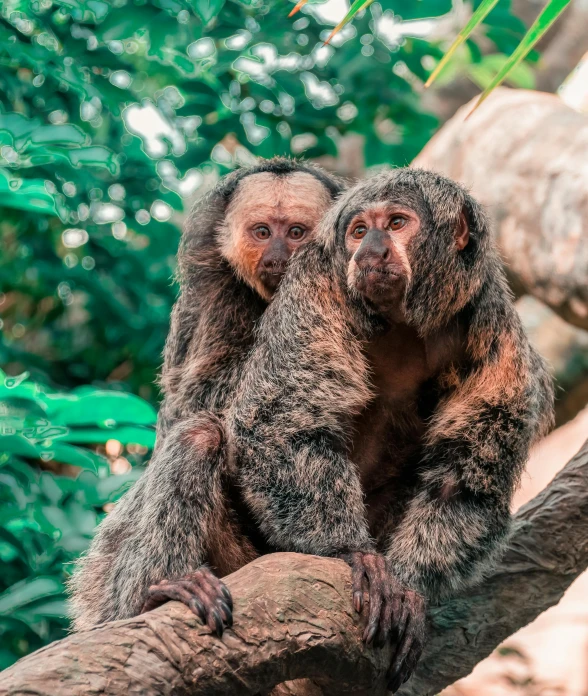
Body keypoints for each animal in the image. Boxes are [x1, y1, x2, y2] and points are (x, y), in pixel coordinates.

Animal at [68, 158, 344, 636]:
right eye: (262, 232)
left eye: (295, 232)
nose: (278, 257)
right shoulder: (213, 299)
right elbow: (191, 405)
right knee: (196, 438)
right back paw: (152, 595)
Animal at [224, 170, 552, 692]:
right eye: (359, 231)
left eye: (396, 223)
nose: (371, 251)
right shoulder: (316, 286)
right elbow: (281, 423)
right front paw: (350, 553)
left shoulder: (497, 334)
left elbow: (462, 482)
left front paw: (410, 587)